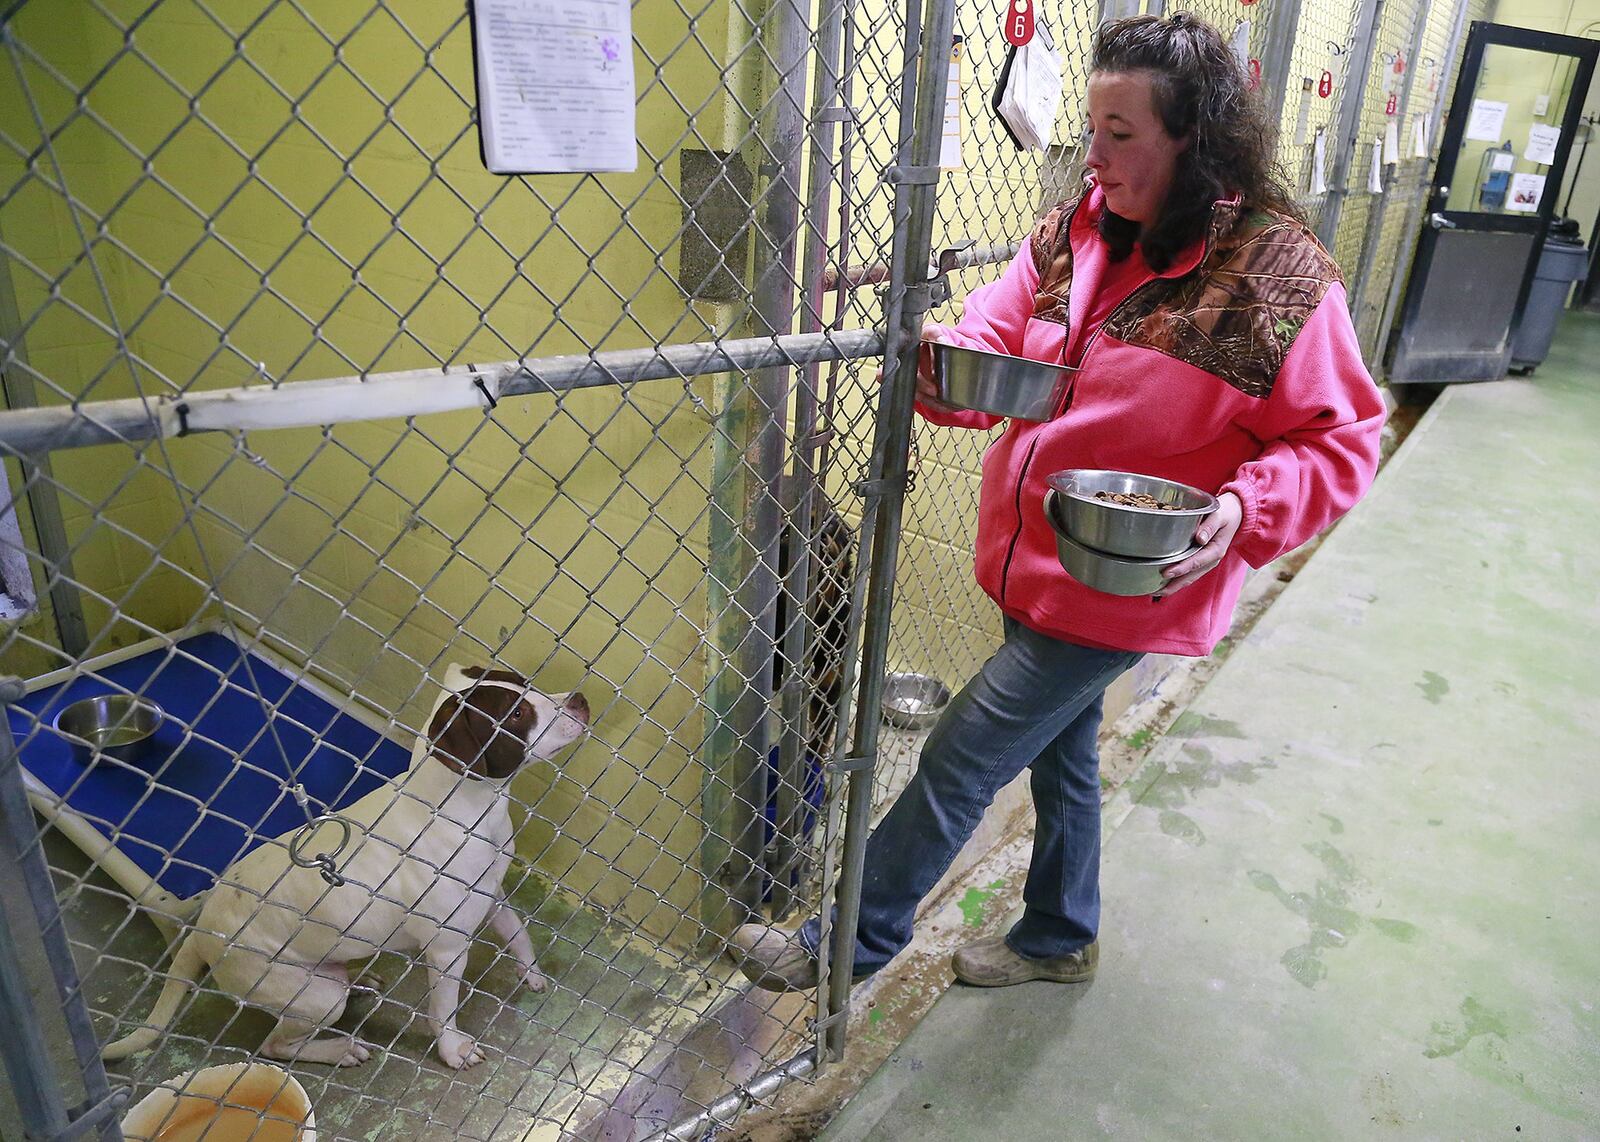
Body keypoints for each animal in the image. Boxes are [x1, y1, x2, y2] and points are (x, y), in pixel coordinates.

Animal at [108, 668, 595, 1068]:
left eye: (526, 683)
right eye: (516, 713)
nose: (579, 699)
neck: (463, 806)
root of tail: (202, 931)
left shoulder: (492, 895)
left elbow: (518, 934)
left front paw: (532, 974)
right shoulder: (446, 949)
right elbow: (443, 1010)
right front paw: (453, 1050)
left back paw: (362, 978)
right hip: (317, 998)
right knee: (276, 1045)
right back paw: (338, 1050)